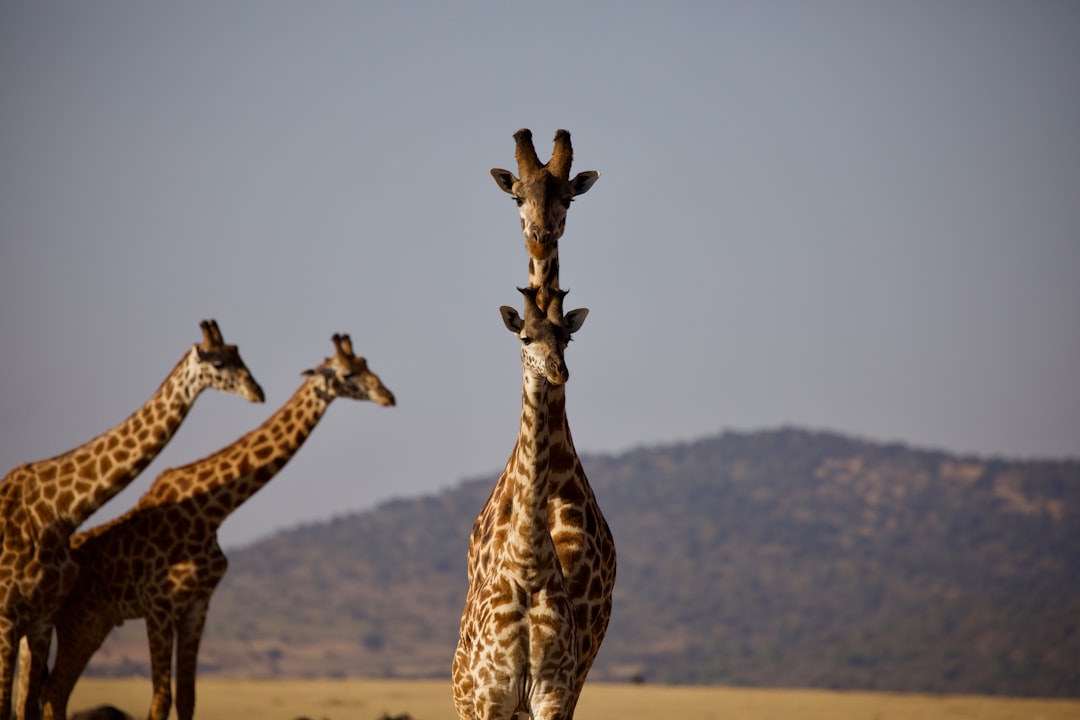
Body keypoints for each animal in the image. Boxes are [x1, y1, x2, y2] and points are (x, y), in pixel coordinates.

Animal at [1, 321, 263, 720]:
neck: (56, 512)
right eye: (218, 363)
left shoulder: (41, 618)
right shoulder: (8, 615)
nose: (258, 392)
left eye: (239, 354)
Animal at [36, 334, 397, 720]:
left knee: (54, 691)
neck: (210, 513)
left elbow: (187, 697)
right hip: (78, 621)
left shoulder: (197, 605)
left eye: (366, 365)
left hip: (94, 623)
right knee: (52, 691)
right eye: (348, 374)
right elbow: (160, 699)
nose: (388, 396)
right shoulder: (158, 605)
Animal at [453, 287, 596, 720]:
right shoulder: (493, 695)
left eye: (566, 338)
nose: (558, 371)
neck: (529, 565)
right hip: (466, 703)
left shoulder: (552, 692)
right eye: (526, 338)